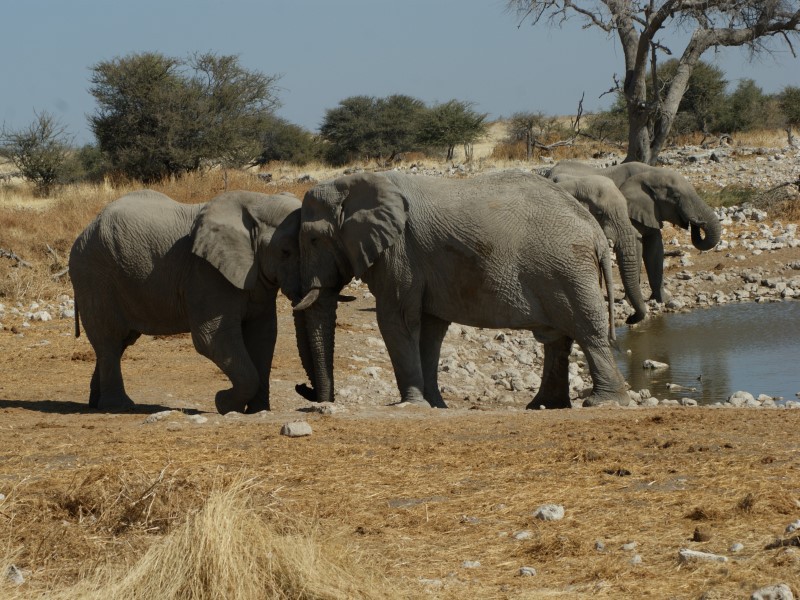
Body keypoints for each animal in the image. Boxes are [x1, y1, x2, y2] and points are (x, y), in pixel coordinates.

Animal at [69, 190, 314, 414]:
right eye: (285, 252)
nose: (302, 387)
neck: (257, 202)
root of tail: (83, 232)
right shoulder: (206, 273)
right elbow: (211, 338)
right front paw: (223, 404)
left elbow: (263, 336)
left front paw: (258, 411)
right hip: (94, 277)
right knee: (109, 338)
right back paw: (118, 406)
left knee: (120, 342)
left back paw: (95, 403)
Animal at [294, 171, 632, 410]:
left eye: (313, 239)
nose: (308, 393)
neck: (352, 183)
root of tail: (596, 233)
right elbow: (430, 329)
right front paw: (435, 405)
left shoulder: (400, 254)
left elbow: (396, 320)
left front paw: (413, 405)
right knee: (558, 338)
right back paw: (545, 406)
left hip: (567, 269)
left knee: (586, 331)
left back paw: (602, 403)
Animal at [548, 159, 720, 302]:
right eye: (676, 197)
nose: (697, 222)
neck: (651, 173)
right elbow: (637, 246)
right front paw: (630, 302)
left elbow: (655, 249)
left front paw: (662, 300)